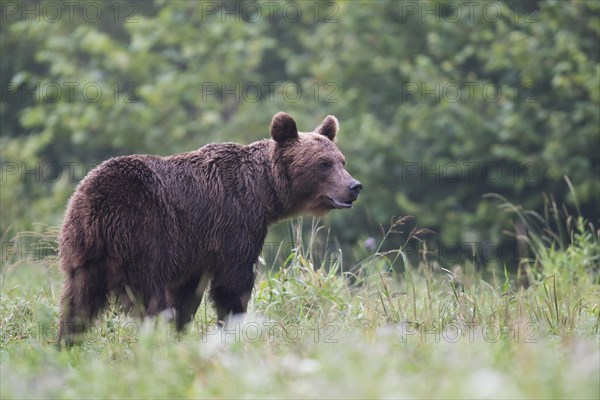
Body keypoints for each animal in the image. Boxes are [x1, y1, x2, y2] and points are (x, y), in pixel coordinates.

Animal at [57, 111, 360, 346]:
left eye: (342, 160)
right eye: (323, 163)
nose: (354, 186)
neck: (263, 193)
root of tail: (96, 207)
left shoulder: (195, 251)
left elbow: (186, 296)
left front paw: (182, 333)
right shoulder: (234, 224)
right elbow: (232, 284)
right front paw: (233, 329)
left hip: (81, 251)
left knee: (77, 303)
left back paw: (66, 344)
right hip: (141, 235)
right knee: (150, 298)